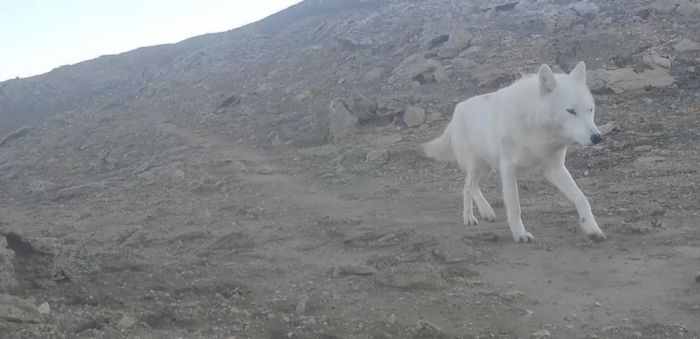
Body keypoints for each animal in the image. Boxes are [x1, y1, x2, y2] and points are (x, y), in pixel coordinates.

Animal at [422, 61, 608, 242]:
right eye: (571, 111)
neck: (535, 125)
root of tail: (456, 111)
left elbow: (582, 198)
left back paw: (485, 212)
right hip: (478, 167)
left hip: (486, 169)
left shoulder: (555, 169)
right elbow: (514, 206)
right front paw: (520, 234)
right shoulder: (508, 168)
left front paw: (592, 228)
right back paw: (470, 217)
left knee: (470, 186)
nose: (597, 137)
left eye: (590, 109)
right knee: (468, 186)